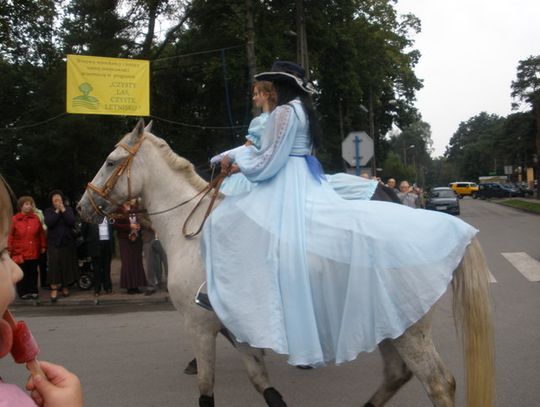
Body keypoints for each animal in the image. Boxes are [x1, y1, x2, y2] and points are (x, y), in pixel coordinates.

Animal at [76, 121, 494, 407]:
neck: (190, 234)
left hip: (409, 330)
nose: (82, 207)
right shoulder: (236, 329)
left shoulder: (199, 326)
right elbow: (264, 385)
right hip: (389, 324)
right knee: (397, 374)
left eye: (111, 161)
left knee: (439, 384)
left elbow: (207, 391)